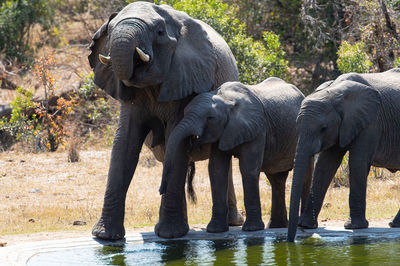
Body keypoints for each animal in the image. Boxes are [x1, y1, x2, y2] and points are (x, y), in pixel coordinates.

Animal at [88, 1, 244, 240]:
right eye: (111, 31)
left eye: (159, 32)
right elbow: (124, 143)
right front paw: (105, 236)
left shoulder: (185, 77)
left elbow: (175, 139)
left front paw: (170, 235)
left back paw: (231, 223)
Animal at [159, 78, 312, 234]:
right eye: (185, 113)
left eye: (210, 118)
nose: (161, 190)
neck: (225, 99)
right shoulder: (223, 131)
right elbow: (216, 169)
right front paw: (215, 230)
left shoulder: (257, 128)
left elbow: (248, 168)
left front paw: (252, 229)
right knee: (276, 178)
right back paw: (277, 226)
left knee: (305, 174)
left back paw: (304, 225)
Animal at [288, 68, 400, 241]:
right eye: (297, 126)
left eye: (323, 128)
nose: (290, 240)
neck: (335, 93)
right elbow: (325, 165)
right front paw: (306, 224)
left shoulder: (372, 122)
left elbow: (357, 162)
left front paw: (354, 226)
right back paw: (394, 224)